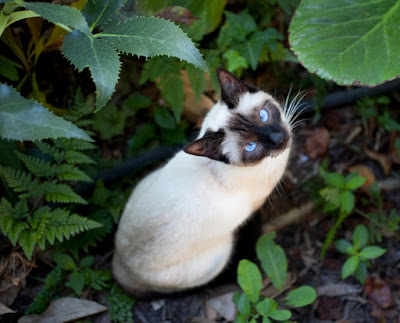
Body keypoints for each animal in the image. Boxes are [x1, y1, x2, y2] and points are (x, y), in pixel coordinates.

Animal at [112, 68, 300, 296]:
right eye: (251, 147)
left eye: (263, 116)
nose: (279, 138)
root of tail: (121, 271)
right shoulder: (258, 201)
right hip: (220, 254)